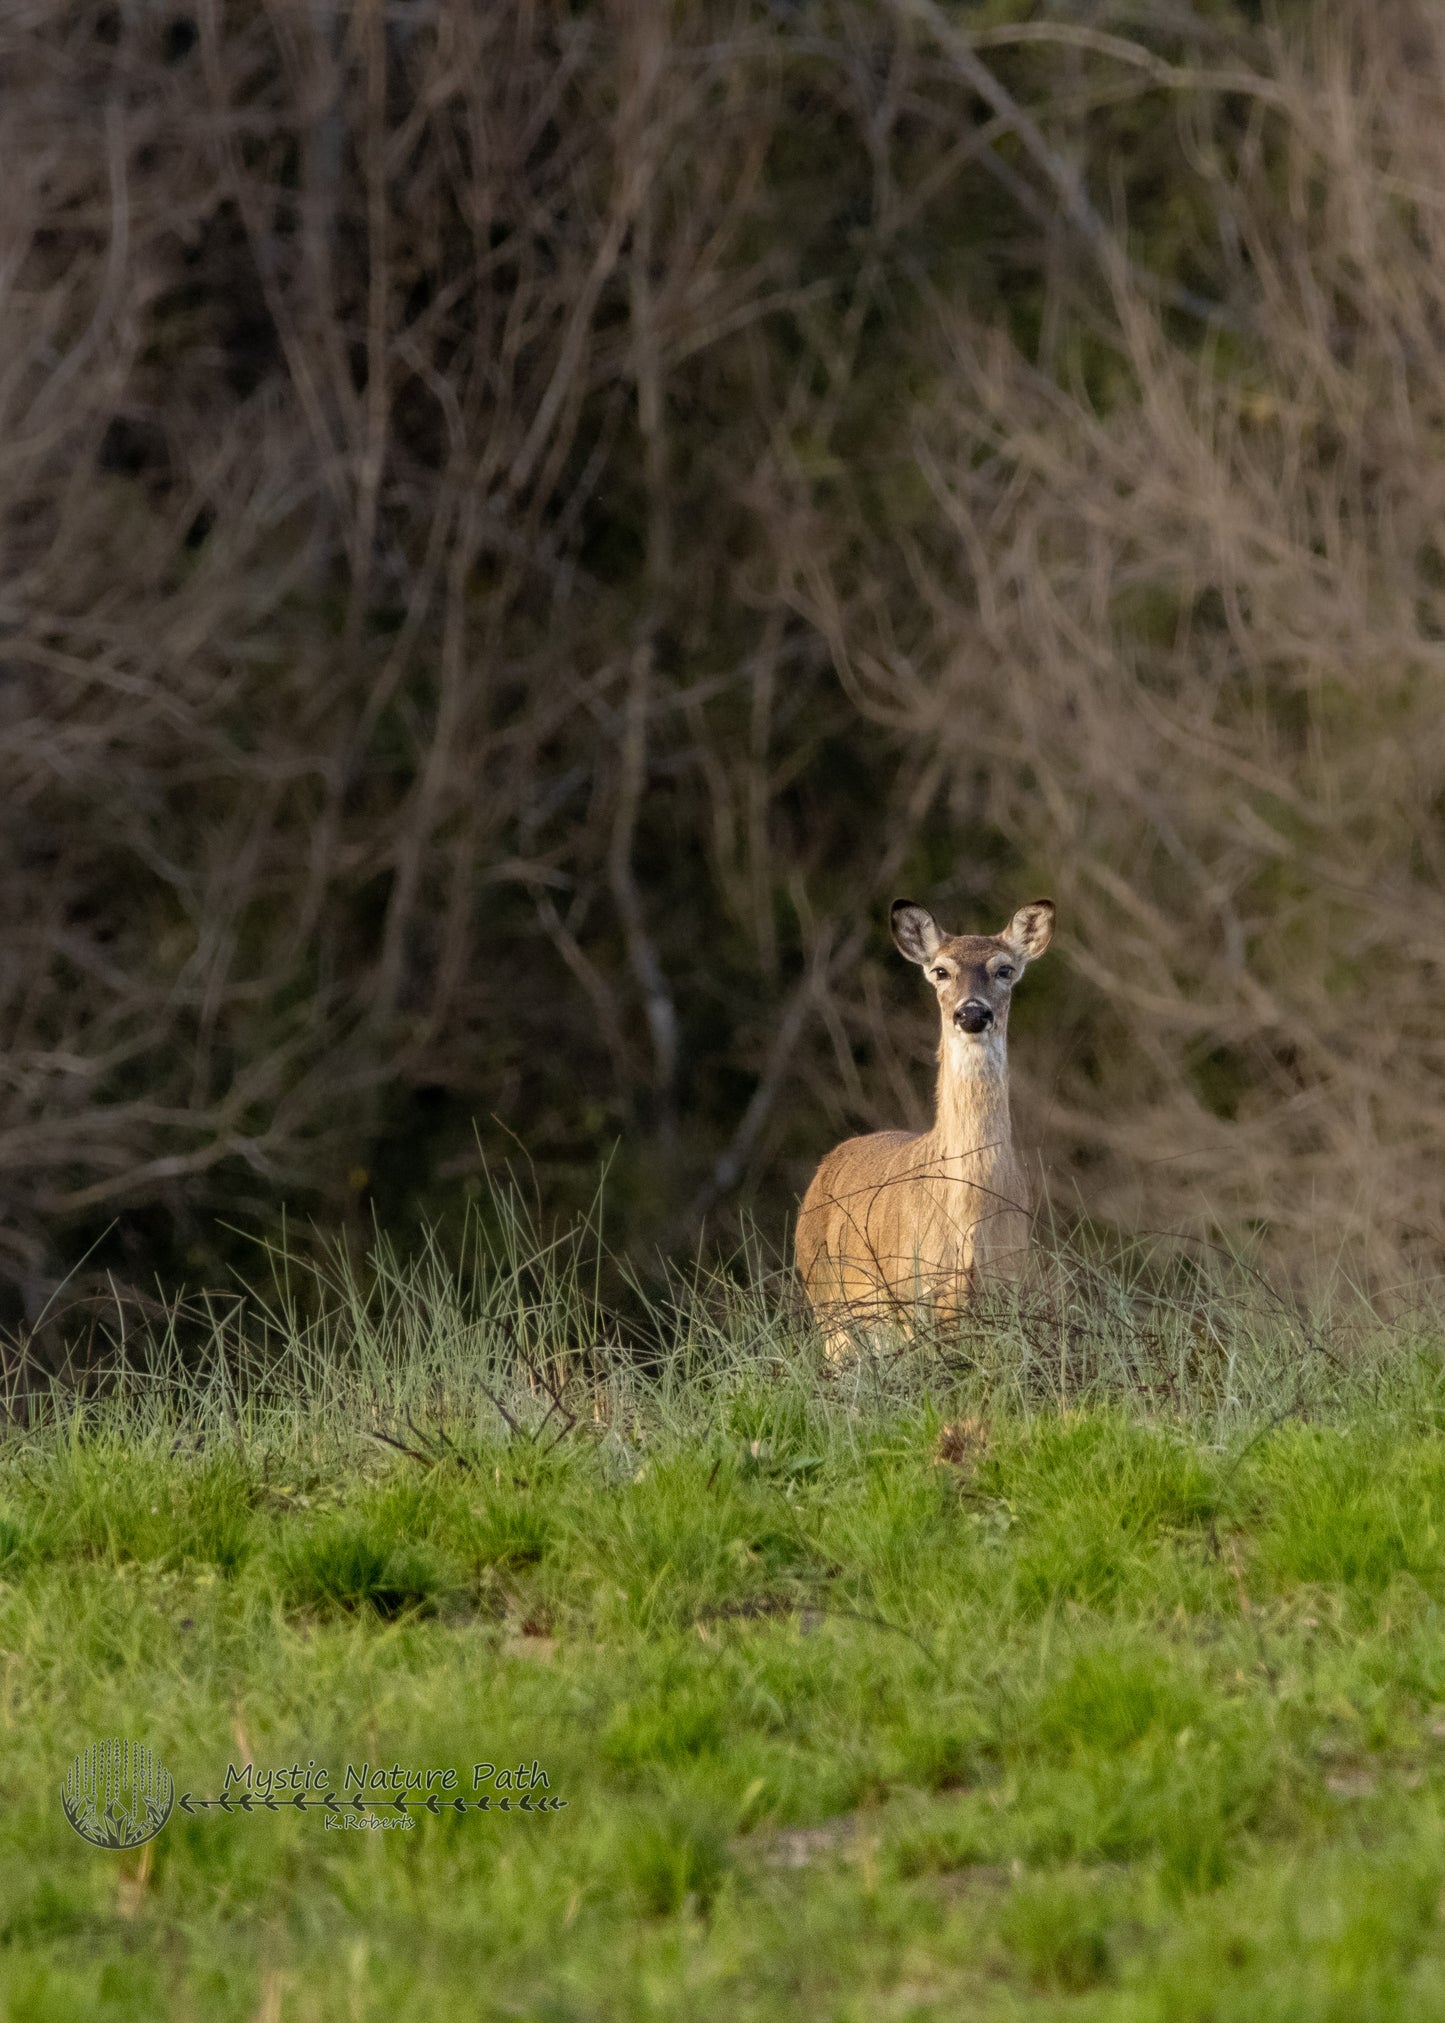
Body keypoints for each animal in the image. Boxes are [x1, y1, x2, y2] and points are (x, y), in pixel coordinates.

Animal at [793, 898, 1052, 1343]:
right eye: (941, 971)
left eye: (1004, 969)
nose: (972, 1013)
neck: (968, 1217)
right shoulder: (913, 1296)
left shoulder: (1011, 1288)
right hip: (831, 1306)